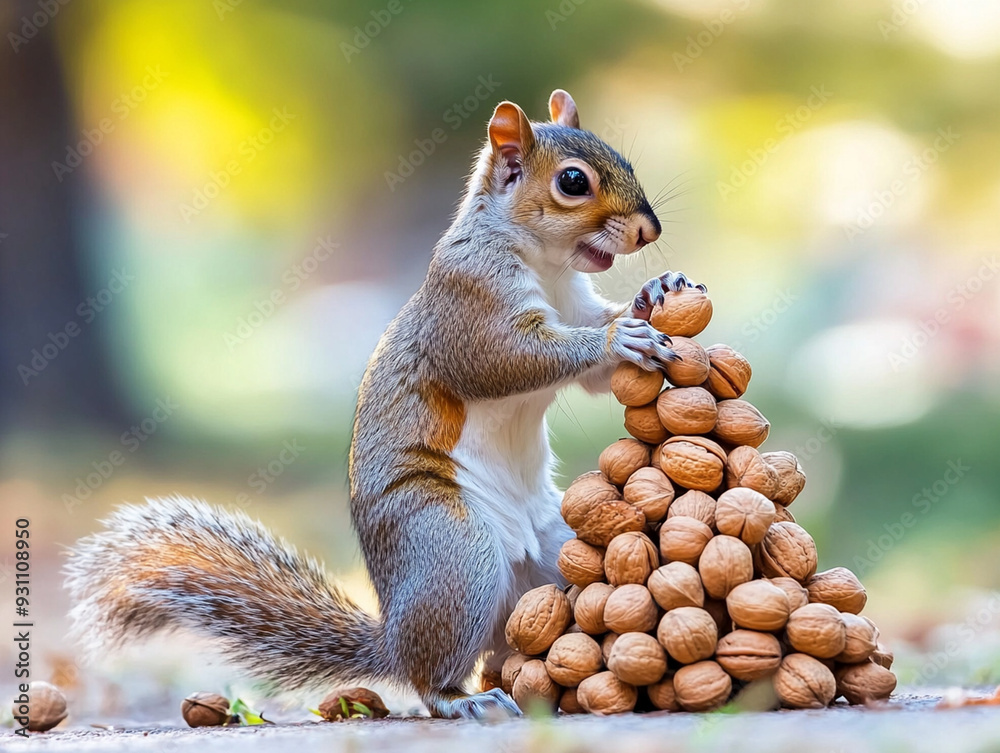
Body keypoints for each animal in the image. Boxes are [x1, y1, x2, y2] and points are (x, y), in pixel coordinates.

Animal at [65, 89, 705, 719]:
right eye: (573, 181)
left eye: (622, 158)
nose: (649, 231)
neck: (545, 264)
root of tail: (392, 639)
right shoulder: (468, 304)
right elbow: (507, 360)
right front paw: (619, 336)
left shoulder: (573, 300)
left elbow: (595, 367)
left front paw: (652, 294)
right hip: (452, 550)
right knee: (429, 677)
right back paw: (460, 699)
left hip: (554, 552)